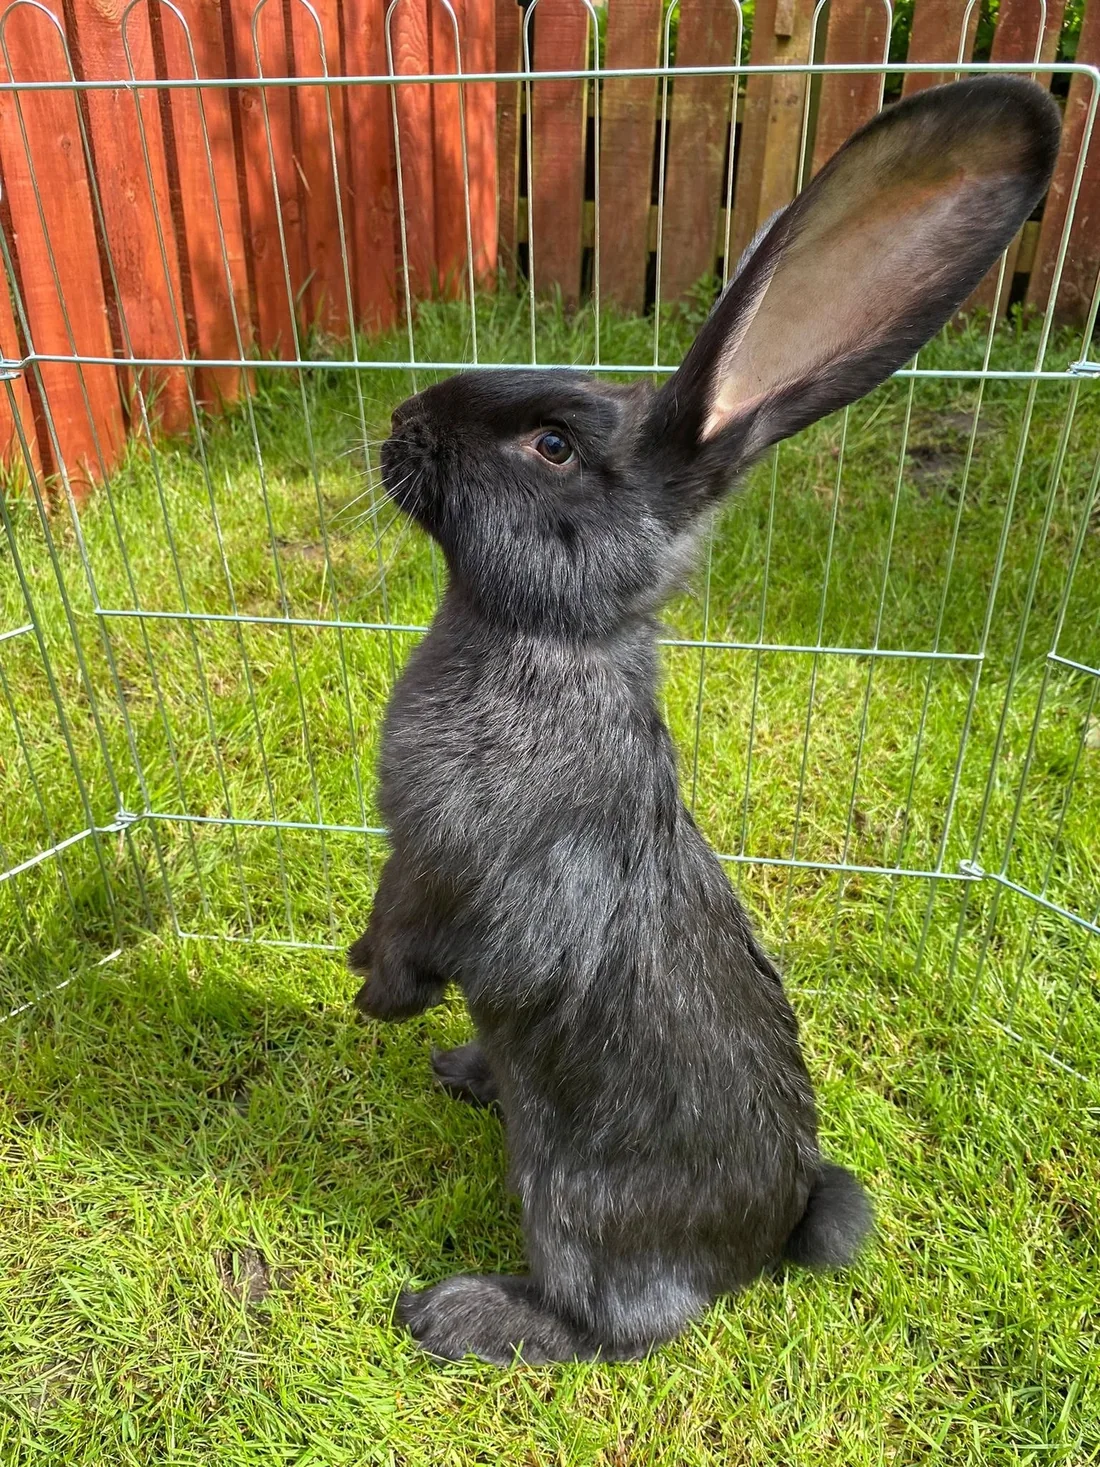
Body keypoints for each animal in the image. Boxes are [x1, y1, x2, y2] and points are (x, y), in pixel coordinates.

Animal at [348, 77, 1061, 1364]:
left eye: (550, 445)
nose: (403, 417)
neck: (556, 641)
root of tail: (775, 1230)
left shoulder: (466, 872)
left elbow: (434, 939)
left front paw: (373, 993)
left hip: (574, 1205)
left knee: (608, 1326)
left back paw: (458, 1310)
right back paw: (465, 1072)